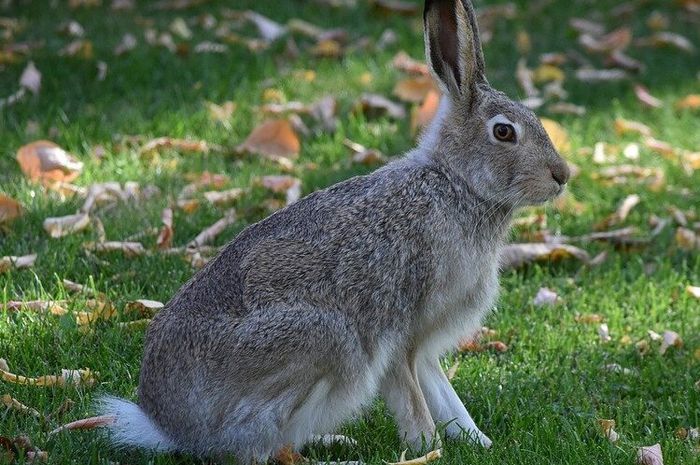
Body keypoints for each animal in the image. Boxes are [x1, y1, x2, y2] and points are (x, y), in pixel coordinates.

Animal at [100, 0, 568, 460]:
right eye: (503, 131)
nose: (562, 175)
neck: (457, 184)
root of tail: (170, 427)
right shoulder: (398, 332)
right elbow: (412, 402)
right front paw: (427, 448)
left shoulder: (424, 346)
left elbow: (443, 393)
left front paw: (476, 441)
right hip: (325, 339)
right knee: (251, 446)